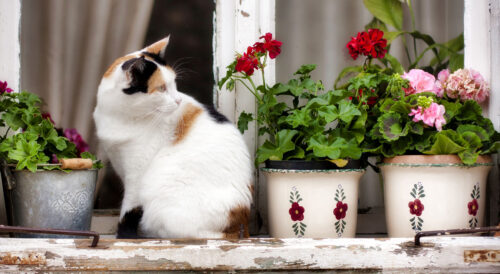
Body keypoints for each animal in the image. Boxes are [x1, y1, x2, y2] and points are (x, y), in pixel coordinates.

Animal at [93, 36, 254, 238]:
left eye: (173, 83)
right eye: (162, 88)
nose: (178, 100)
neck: (119, 117)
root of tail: (241, 221)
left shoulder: (136, 174)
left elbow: (129, 210)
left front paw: (125, 236)